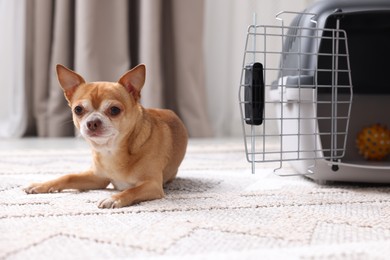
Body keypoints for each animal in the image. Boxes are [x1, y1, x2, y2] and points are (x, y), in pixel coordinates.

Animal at [24, 64, 189, 208]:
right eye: (78, 109)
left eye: (114, 110)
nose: (92, 122)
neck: (111, 150)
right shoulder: (98, 178)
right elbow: (68, 176)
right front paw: (42, 185)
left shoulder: (152, 185)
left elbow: (131, 190)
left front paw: (114, 198)